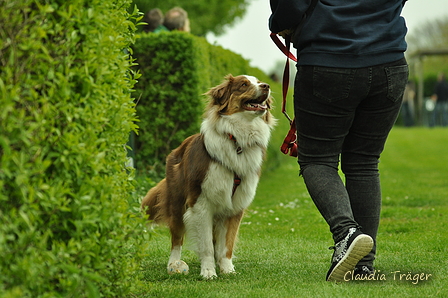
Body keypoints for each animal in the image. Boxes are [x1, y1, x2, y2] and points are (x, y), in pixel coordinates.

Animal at [142, 74, 274, 280]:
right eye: (243, 84)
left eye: (259, 81)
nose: (266, 86)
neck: (237, 140)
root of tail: (177, 149)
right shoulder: (200, 204)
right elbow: (205, 246)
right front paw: (208, 272)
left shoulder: (235, 206)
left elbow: (226, 244)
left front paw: (227, 269)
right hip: (177, 202)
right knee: (177, 238)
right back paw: (174, 263)